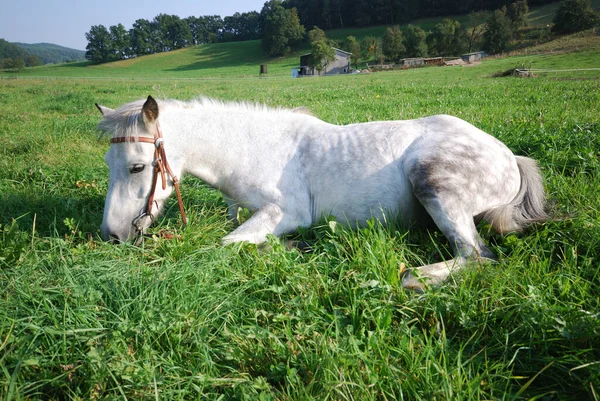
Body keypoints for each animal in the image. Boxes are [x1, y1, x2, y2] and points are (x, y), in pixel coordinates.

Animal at [95, 97, 548, 290]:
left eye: (137, 167)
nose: (113, 235)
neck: (254, 148)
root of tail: (510, 157)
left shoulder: (286, 213)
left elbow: (226, 244)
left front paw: (290, 248)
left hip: (432, 180)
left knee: (477, 255)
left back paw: (413, 279)